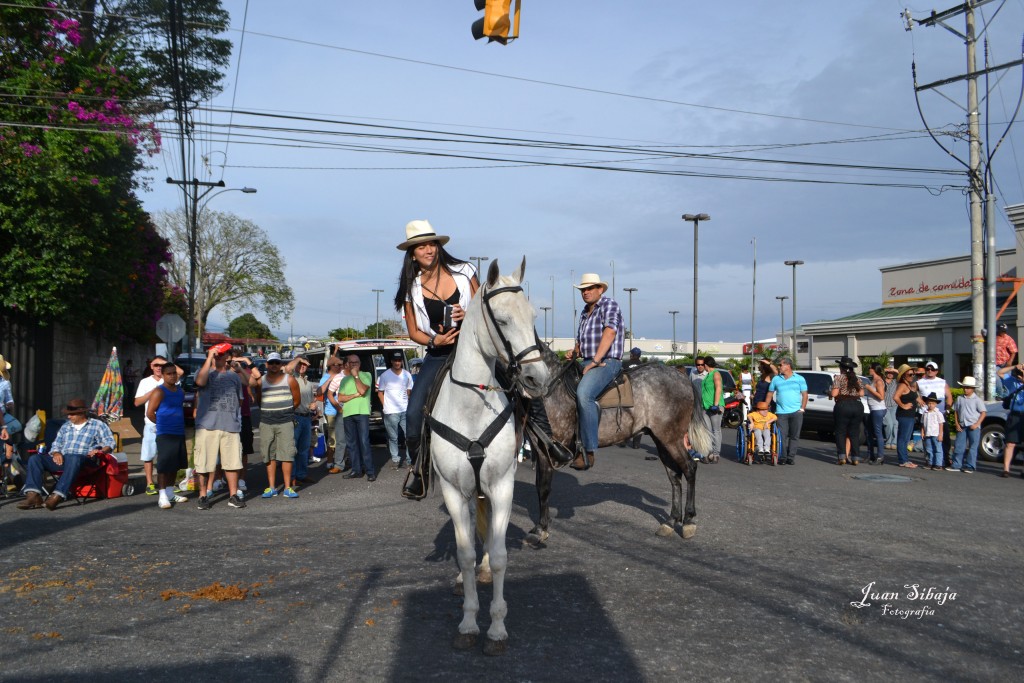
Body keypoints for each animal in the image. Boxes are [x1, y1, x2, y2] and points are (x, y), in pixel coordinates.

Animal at [425, 258, 552, 655]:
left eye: (533, 316)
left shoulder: (501, 486)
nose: (538, 378)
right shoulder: (453, 491)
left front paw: (496, 627)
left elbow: (498, 557)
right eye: (503, 319)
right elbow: (464, 553)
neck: (472, 405)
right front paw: (468, 622)